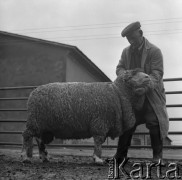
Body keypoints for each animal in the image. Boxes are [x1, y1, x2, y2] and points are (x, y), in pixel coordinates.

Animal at [21, 69, 149, 165]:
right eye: (133, 75)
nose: (148, 77)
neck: (118, 93)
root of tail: (33, 94)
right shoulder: (100, 122)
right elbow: (99, 141)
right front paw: (97, 159)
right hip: (35, 121)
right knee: (27, 135)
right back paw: (25, 157)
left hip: (43, 125)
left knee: (39, 140)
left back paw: (44, 157)